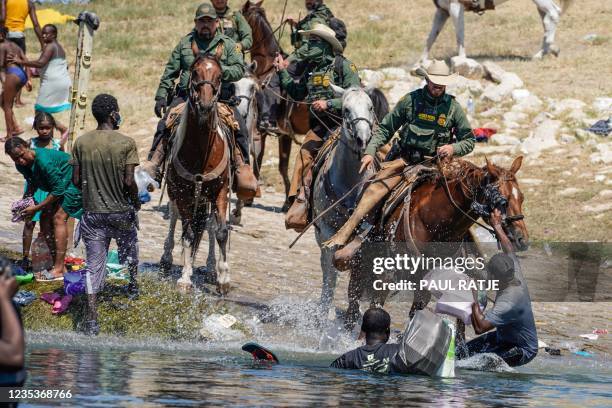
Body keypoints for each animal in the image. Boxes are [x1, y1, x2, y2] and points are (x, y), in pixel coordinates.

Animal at [160, 55, 232, 296]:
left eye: (219, 75)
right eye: (194, 72)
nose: (206, 105)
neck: (201, 152)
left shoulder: (220, 192)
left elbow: (220, 232)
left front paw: (223, 278)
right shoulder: (183, 195)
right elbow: (189, 234)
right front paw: (185, 277)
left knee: (209, 226)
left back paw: (210, 268)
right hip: (177, 193)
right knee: (175, 218)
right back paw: (167, 258)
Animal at [346, 156, 528, 328]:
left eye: (521, 198)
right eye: (503, 201)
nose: (522, 239)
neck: (433, 223)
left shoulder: (424, 284)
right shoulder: (386, 276)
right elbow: (375, 307)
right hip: (360, 263)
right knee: (352, 303)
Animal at [420, 0, 572, 62]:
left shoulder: (456, 7)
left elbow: (459, 36)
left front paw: (462, 60)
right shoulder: (443, 10)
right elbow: (431, 37)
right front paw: (420, 63)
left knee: (553, 14)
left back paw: (544, 52)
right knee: (547, 18)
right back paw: (546, 51)